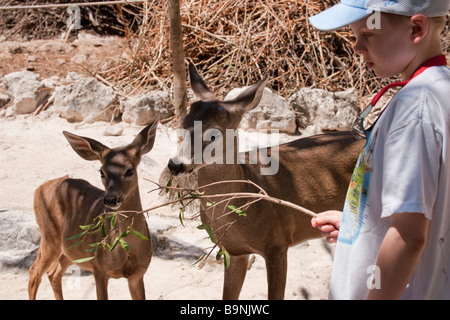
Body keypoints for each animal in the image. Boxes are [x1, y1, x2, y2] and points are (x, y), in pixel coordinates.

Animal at [28, 119, 158, 300]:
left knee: (53, 273)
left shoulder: (138, 273)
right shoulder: (99, 268)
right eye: (101, 172)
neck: (128, 250)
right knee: (34, 271)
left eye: (129, 170)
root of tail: (38, 189)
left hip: (70, 248)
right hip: (49, 235)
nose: (110, 199)